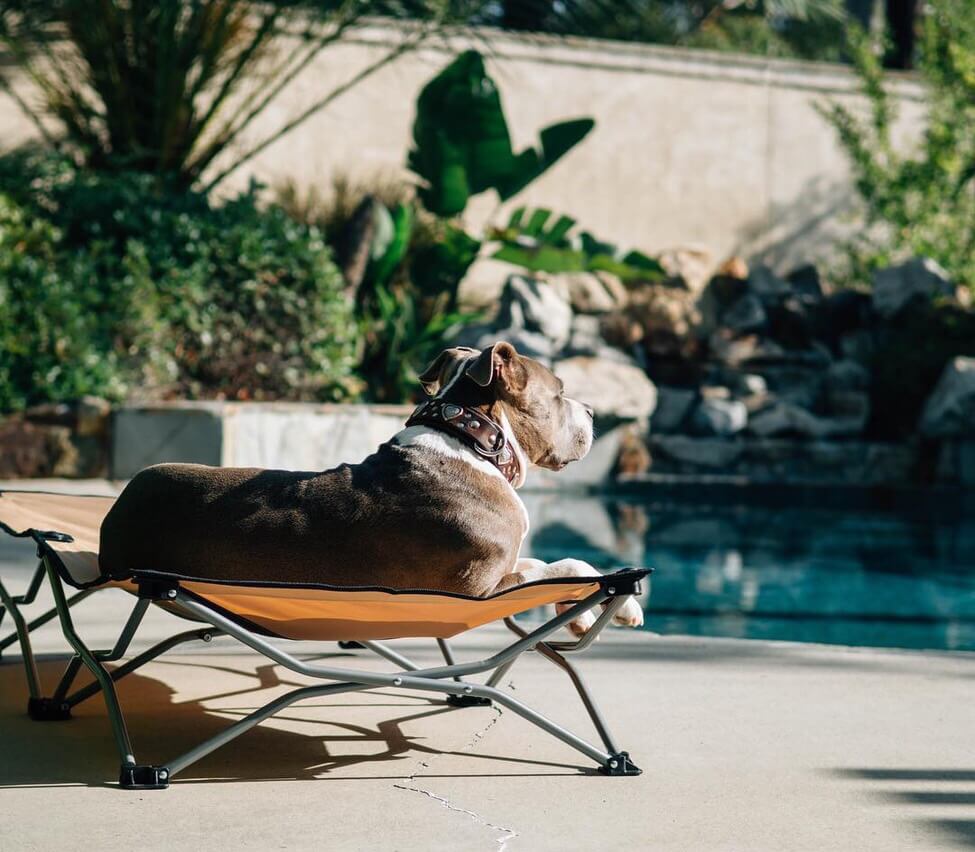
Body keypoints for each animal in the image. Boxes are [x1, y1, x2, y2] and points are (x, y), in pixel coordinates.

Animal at [101, 340, 648, 632]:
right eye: (559, 392)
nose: (593, 412)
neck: (470, 438)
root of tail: (118, 507)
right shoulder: (477, 590)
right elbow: (564, 563)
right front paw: (617, 605)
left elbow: (544, 563)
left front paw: (588, 612)